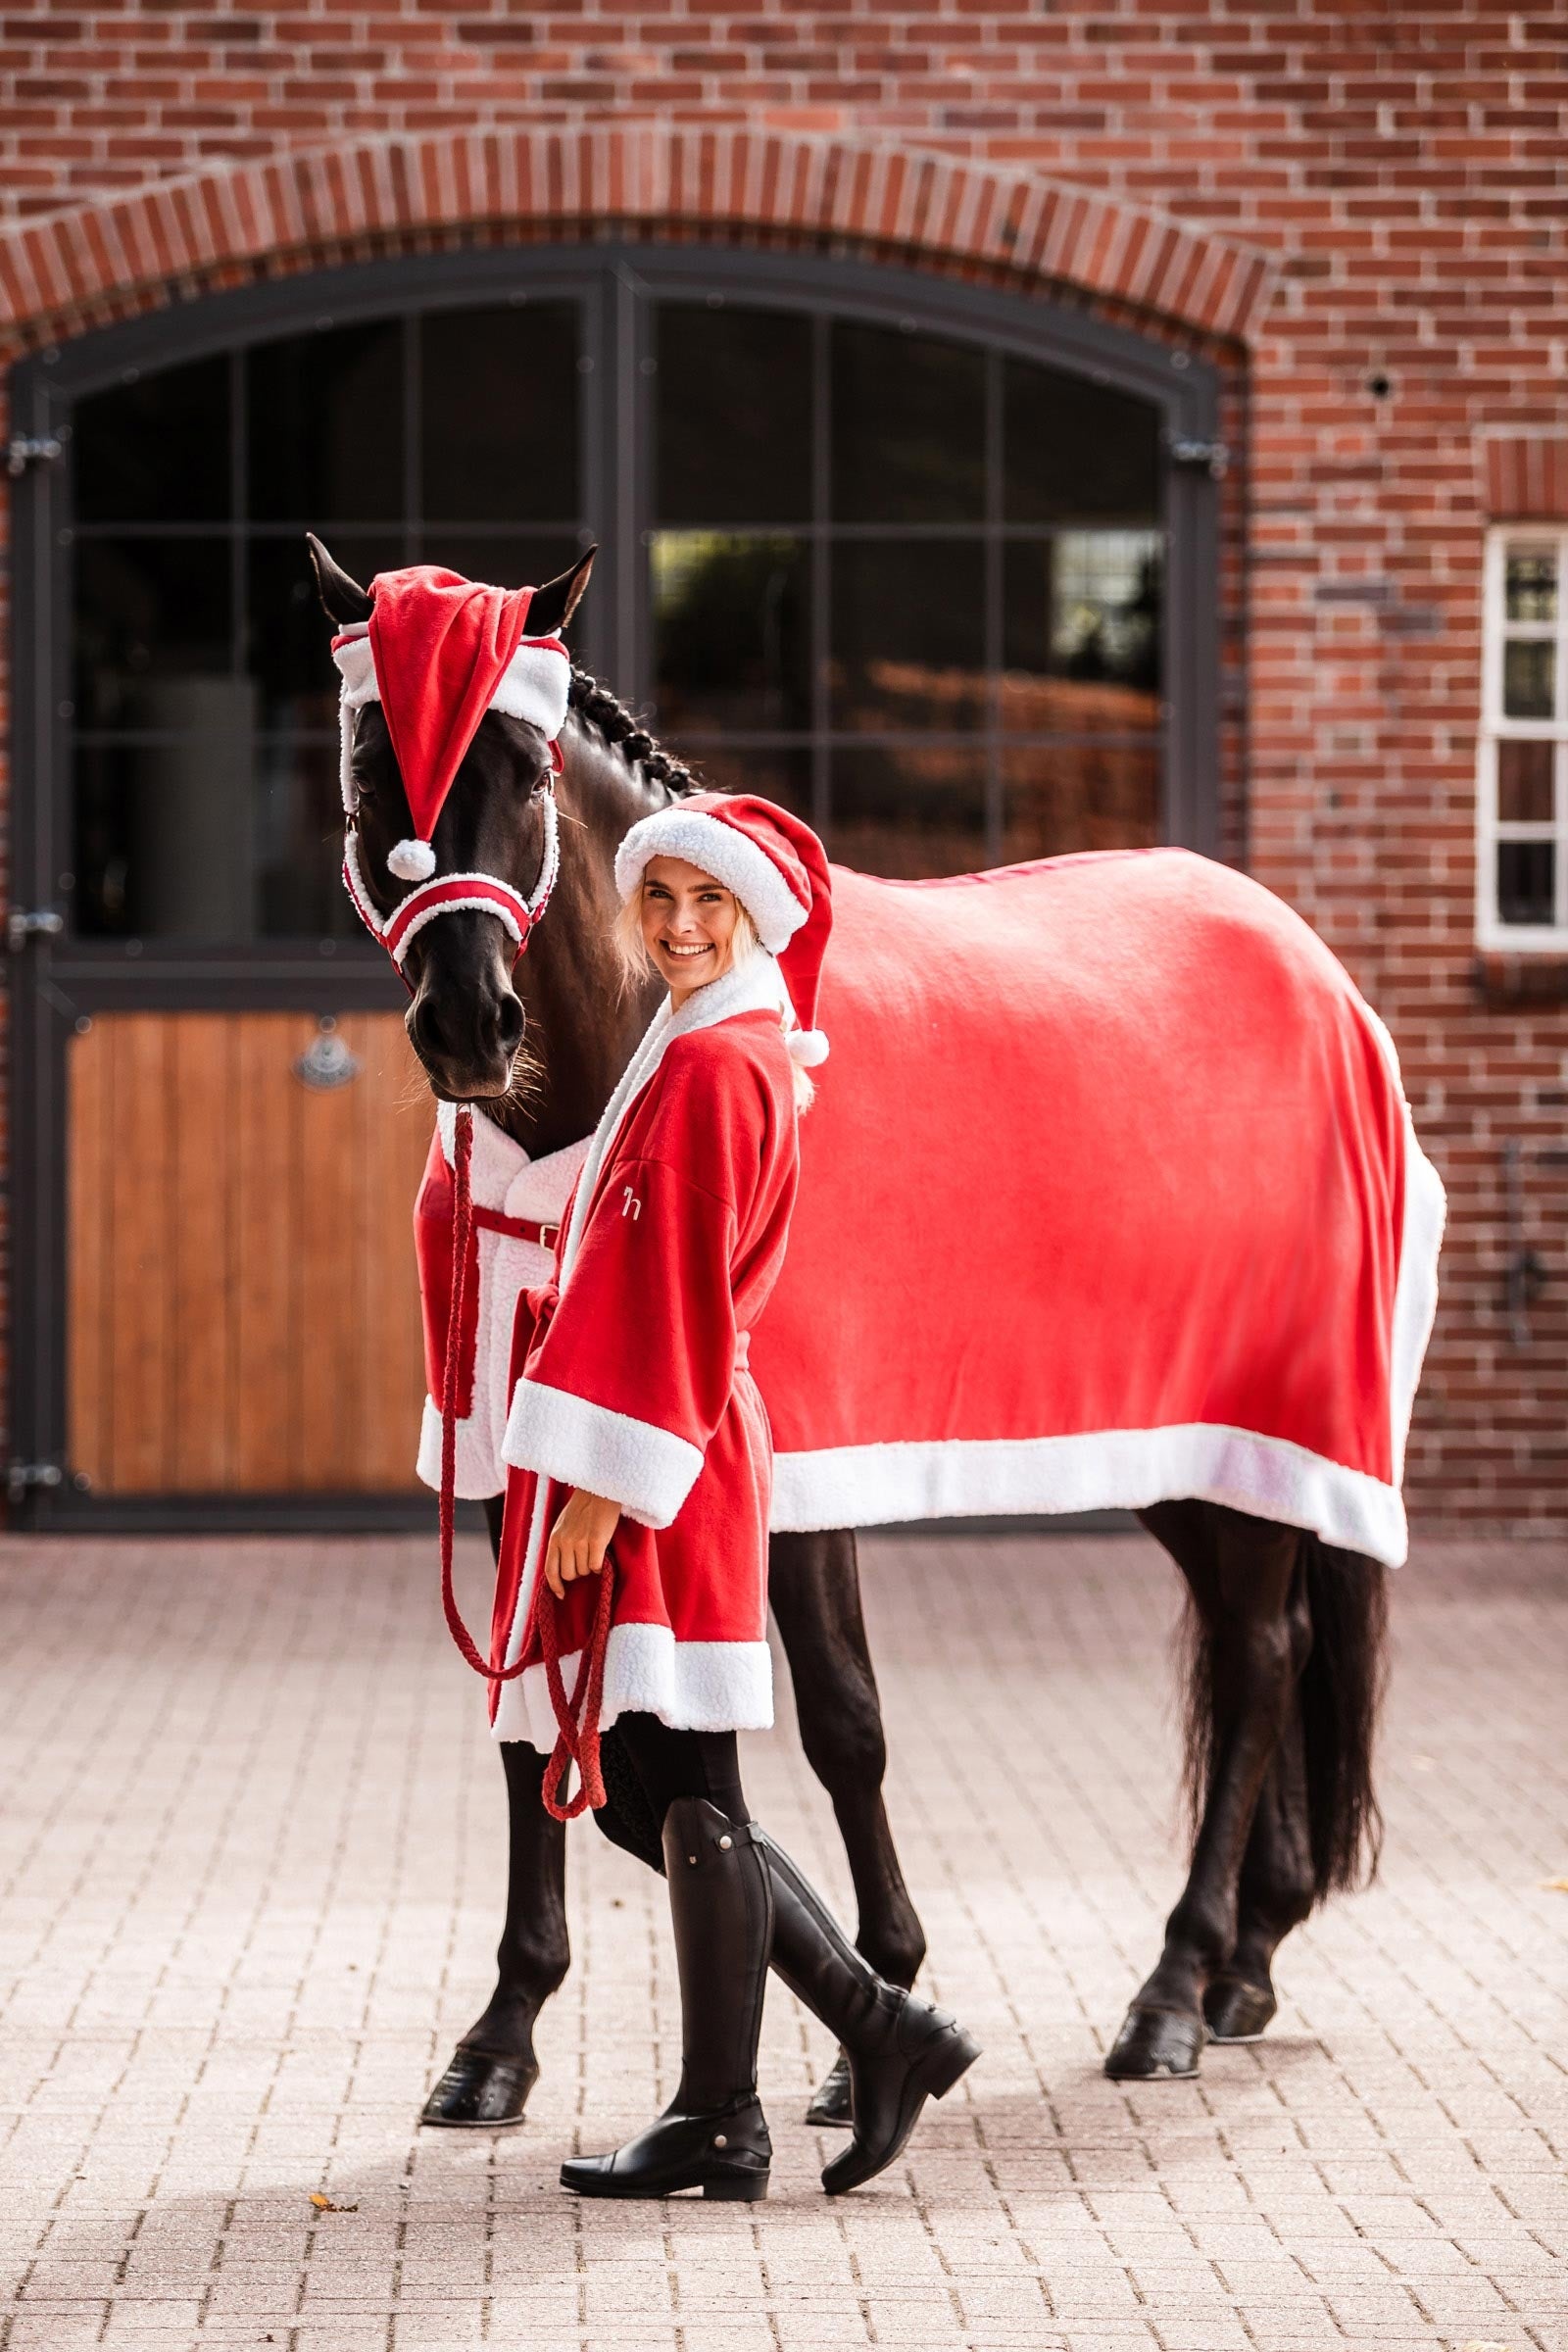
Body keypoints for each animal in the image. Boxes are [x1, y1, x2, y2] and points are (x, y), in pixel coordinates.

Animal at [310, 532, 1400, 2122]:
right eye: (367, 763)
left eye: (519, 765)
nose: (470, 1022)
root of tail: (1310, 963)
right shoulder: (522, 1442)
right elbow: (534, 1726)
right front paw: (502, 2035)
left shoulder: (780, 1462)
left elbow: (840, 1722)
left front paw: (883, 2000)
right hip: (1181, 1448)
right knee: (1266, 1640)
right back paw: (1246, 1960)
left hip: (1261, 1417)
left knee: (1259, 1655)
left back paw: (1175, 1989)